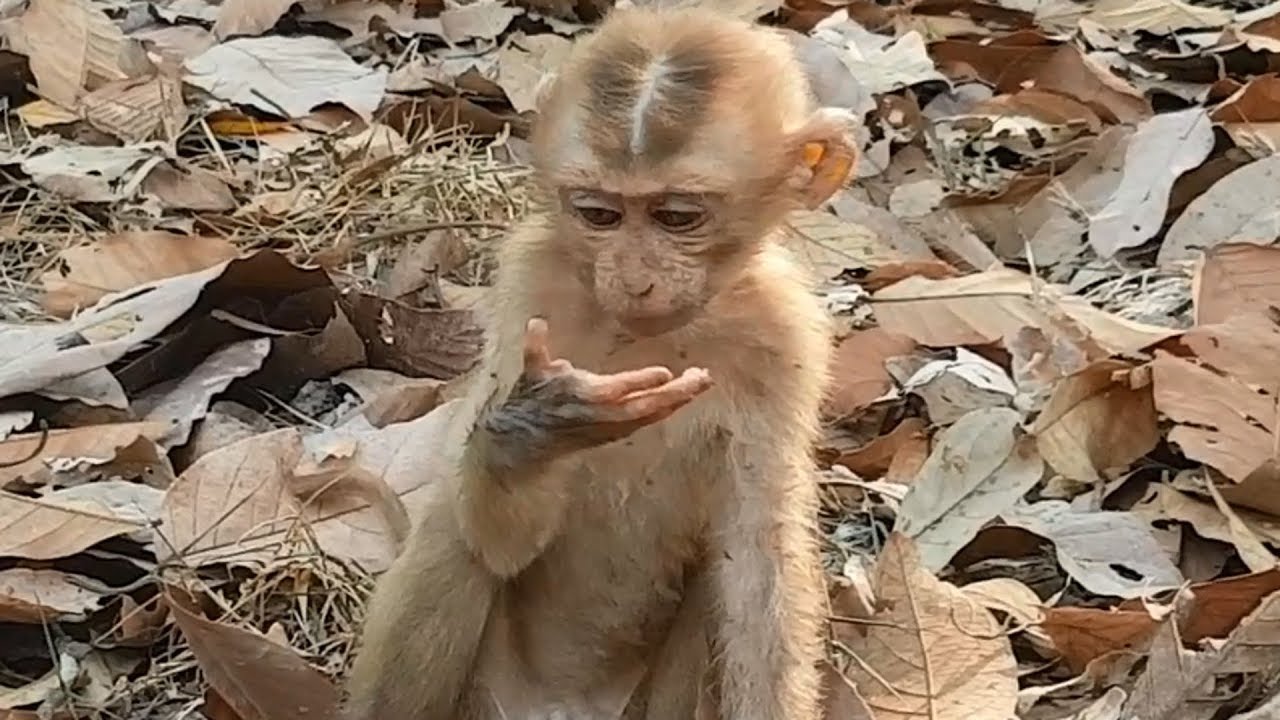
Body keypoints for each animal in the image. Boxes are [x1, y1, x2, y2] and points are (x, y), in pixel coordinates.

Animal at [342, 5, 858, 719]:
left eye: (676, 217)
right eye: (599, 214)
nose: (634, 279)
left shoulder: (785, 335)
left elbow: (758, 560)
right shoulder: (531, 280)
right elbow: (494, 537)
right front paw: (535, 429)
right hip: (486, 693)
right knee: (452, 530)